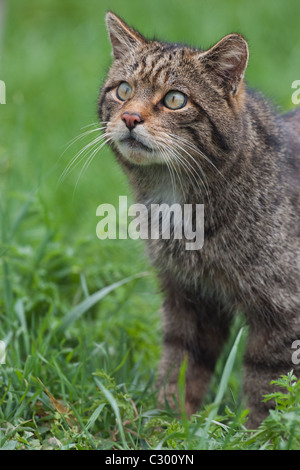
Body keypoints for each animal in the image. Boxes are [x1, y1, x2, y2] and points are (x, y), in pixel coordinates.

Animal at [98, 11, 300, 430]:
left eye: (175, 99)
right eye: (123, 90)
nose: (130, 116)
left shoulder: (282, 312)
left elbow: (268, 386)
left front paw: (258, 434)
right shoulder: (189, 296)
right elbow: (181, 364)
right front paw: (167, 422)